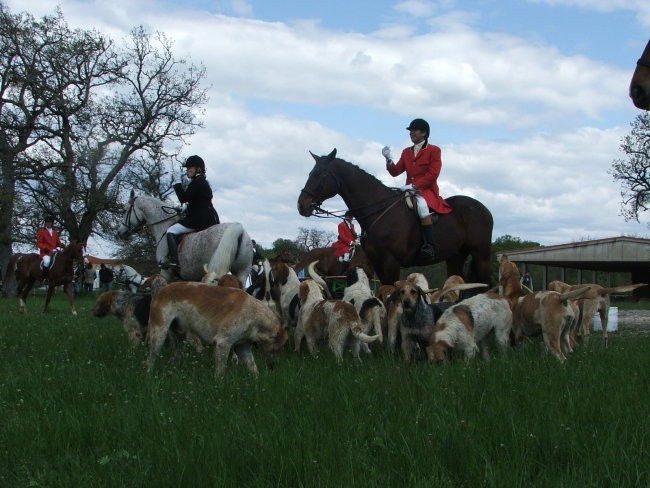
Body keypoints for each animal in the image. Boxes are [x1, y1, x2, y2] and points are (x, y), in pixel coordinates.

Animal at [115, 193, 252, 284]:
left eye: (126, 210)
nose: (120, 232)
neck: (164, 226)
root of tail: (238, 228)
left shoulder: (166, 273)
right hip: (242, 273)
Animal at [294, 149, 492, 286]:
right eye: (310, 173)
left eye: (319, 174)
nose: (301, 205)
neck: (379, 211)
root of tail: (483, 208)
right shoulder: (378, 265)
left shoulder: (391, 263)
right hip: (455, 257)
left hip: (481, 256)